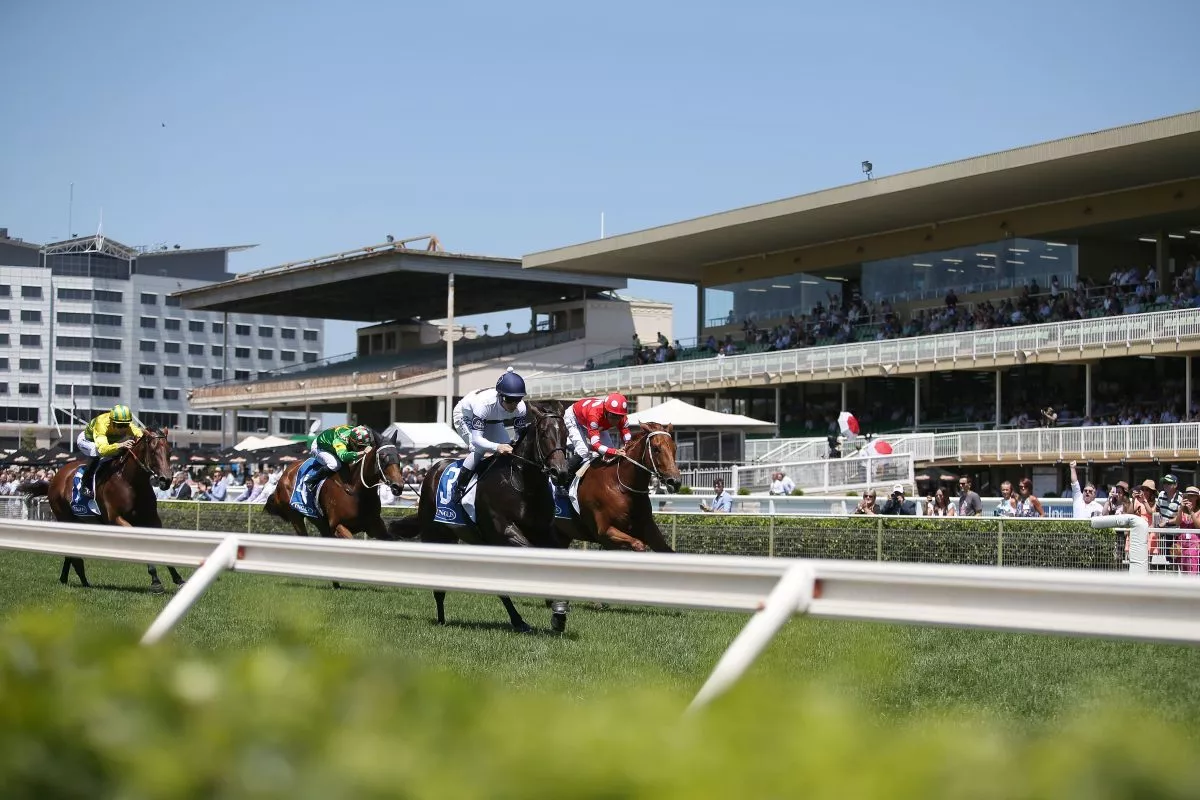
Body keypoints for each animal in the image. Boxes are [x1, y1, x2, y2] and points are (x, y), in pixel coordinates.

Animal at [18, 429, 182, 592]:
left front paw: (178, 578)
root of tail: (55, 478)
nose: (166, 480)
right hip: (64, 517)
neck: (130, 482)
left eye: (169, 451)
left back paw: (67, 578)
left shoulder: (152, 519)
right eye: (153, 451)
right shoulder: (115, 519)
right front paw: (156, 581)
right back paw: (82, 580)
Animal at [386, 400, 568, 633]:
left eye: (565, 432)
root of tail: (434, 469)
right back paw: (441, 620)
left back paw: (518, 621)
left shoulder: (543, 531)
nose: (560, 472)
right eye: (544, 433)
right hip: (435, 535)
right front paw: (555, 603)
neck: (522, 483)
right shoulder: (504, 531)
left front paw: (558, 609)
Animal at [554, 422, 686, 554]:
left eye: (675, 448)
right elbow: (638, 544)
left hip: (562, 535)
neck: (620, 486)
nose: (675, 481)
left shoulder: (649, 528)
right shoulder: (605, 534)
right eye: (656, 448)